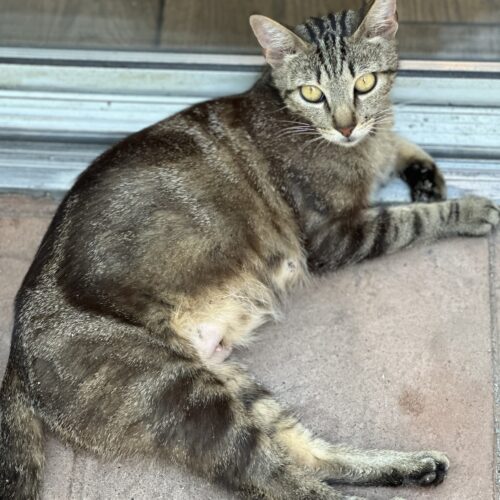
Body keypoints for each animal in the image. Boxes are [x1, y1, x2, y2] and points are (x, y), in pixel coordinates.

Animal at [1, 0, 498, 499]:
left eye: (365, 83)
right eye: (312, 93)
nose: (346, 126)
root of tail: (15, 362)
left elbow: (396, 143)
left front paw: (422, 172)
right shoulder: (335, 235)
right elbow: (409, 219)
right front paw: (469, 208)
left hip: (229, 380)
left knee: (306, 455)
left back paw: (413, 466)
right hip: (180, 392)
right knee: (274, 478)